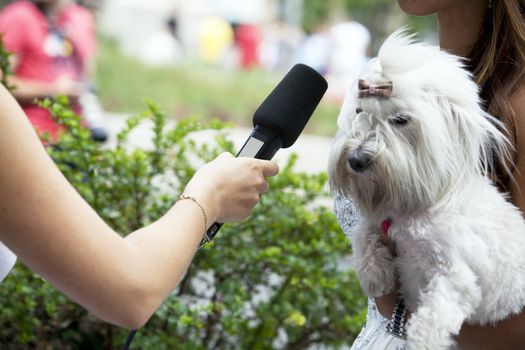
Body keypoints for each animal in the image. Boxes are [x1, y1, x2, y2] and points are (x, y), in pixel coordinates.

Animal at [330, 30, 524, 350]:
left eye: (400, 120)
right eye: (359, 111)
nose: (356, 159)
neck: (419, 206)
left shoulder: (455, 273)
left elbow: (437, 312)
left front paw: (422, 338)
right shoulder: (380, 219)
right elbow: (363, 233)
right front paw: (375, 274)